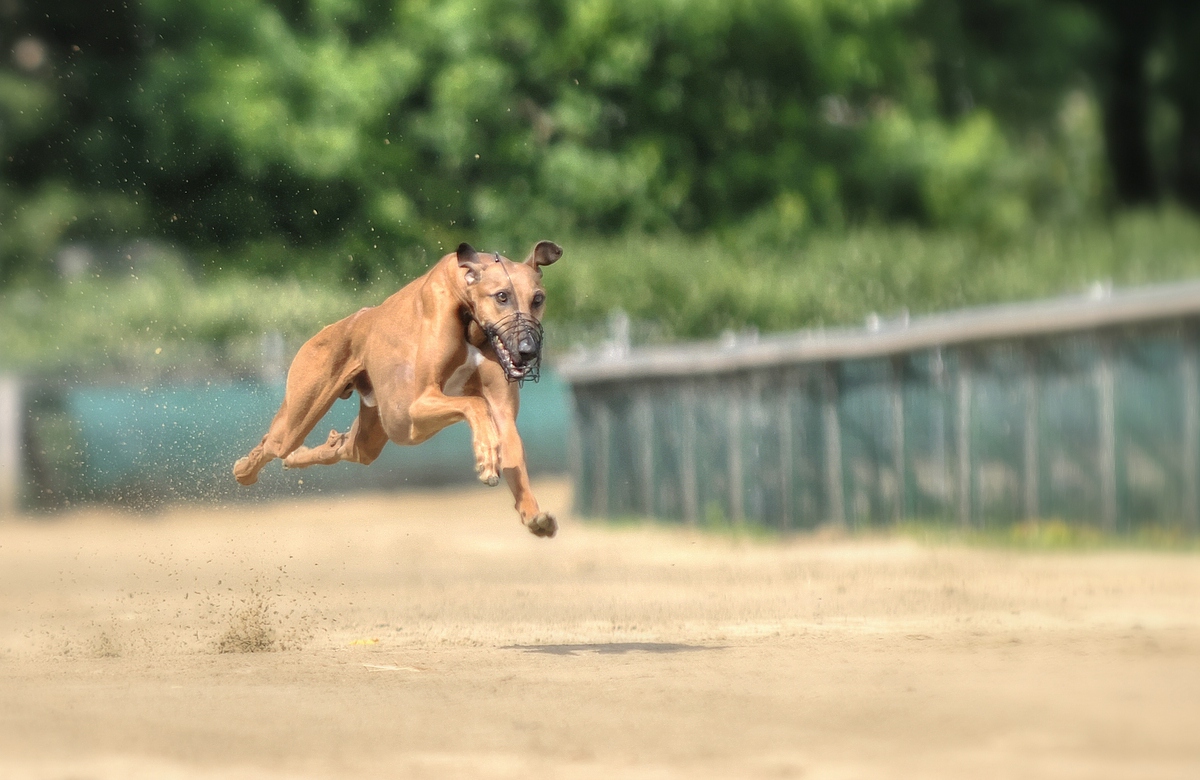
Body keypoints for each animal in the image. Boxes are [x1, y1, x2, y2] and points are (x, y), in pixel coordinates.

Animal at [232, 240, 561, 537]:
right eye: (501, 296)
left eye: (538, 299)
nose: (528, 350)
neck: (469, 317)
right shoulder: (418, 404)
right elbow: (474, 404)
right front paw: (486, 458)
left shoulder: (501, 412)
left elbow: (509, 444)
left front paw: (532, 514)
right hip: (312, 414)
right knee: (273, 443)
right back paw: (245, 469)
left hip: (379, 430)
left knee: (345, 448)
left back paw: (313, 451)